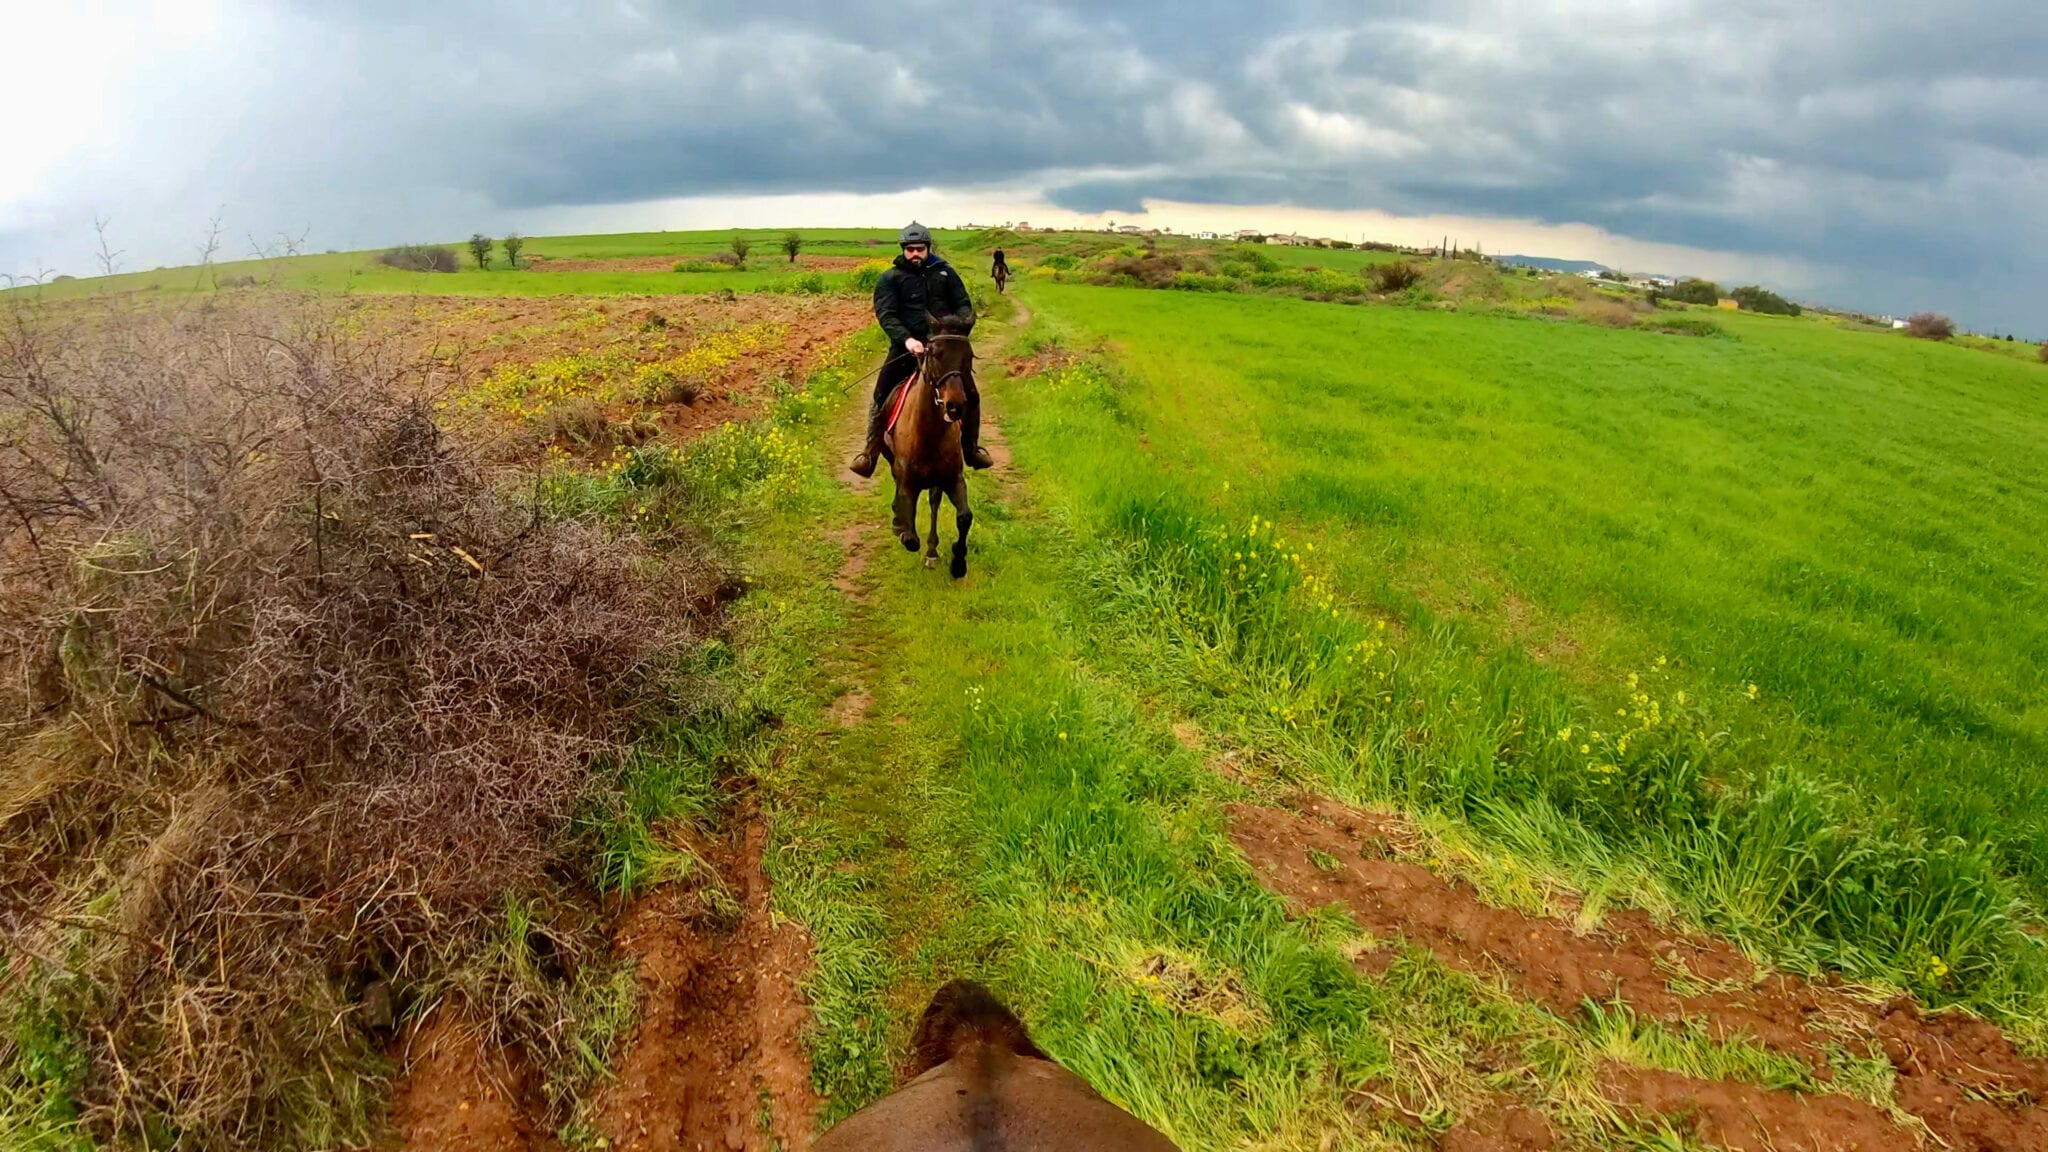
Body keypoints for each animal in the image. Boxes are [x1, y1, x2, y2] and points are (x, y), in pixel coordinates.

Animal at [880, 315, 974, 573]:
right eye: (936, 354)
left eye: (969, 356)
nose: (955, 406)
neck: (929, 434)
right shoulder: (907, 480)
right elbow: (911, 537)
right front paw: (903, 527)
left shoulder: (953, 479)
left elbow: (964, 517)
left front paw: (958, 562)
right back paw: (898, 522)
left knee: (934, 502)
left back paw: (932, 551)